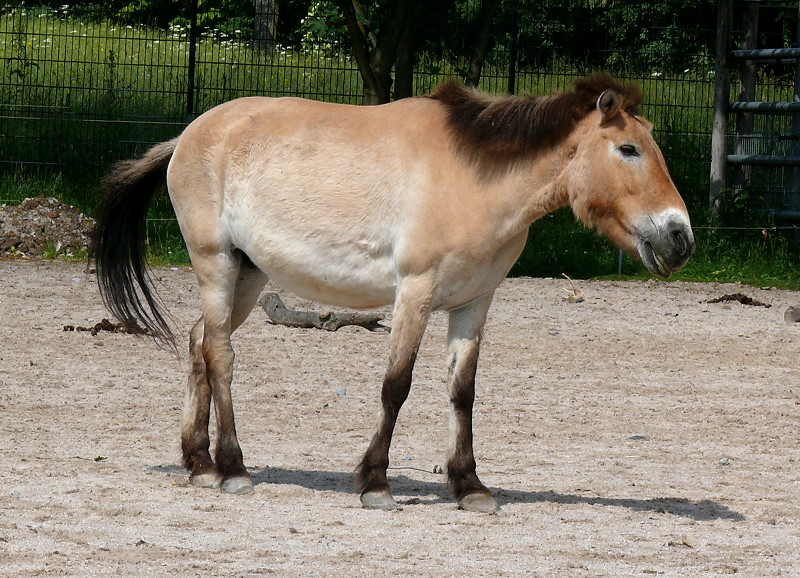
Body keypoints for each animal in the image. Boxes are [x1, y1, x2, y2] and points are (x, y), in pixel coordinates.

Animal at [94, 74, 692, 510]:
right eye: (629, 149)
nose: (679, 236)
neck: (474, 177)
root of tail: (188, 136)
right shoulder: (415, 295)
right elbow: (396, 386)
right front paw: (376, 482)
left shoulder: (474, 304)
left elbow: (462, 392)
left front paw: (470, 487)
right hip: (216, 263)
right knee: (220, 353)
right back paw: (233, 469)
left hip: (249, 273)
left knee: (199, 341)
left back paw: (198, 464)